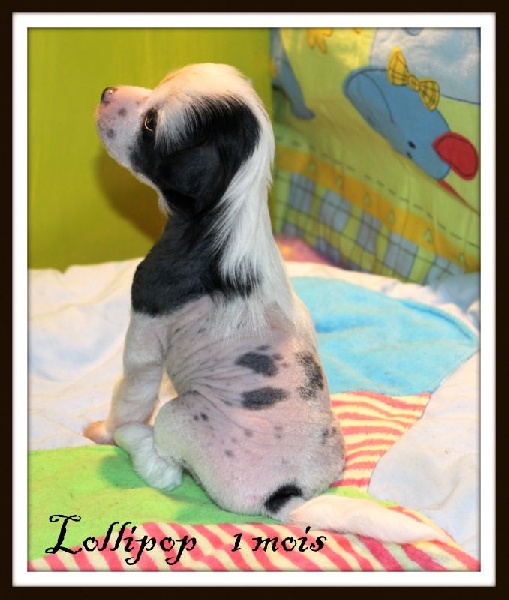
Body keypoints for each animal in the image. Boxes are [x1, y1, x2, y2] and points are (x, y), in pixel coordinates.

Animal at [85, 63, 447, 544]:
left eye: (150, 124)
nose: (106, 92)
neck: (228, 218)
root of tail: (288, 495)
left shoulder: (144, 336)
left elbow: (129, 400)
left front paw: (108, 430)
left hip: (179, 414)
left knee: (161, 461)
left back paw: (146, 455)